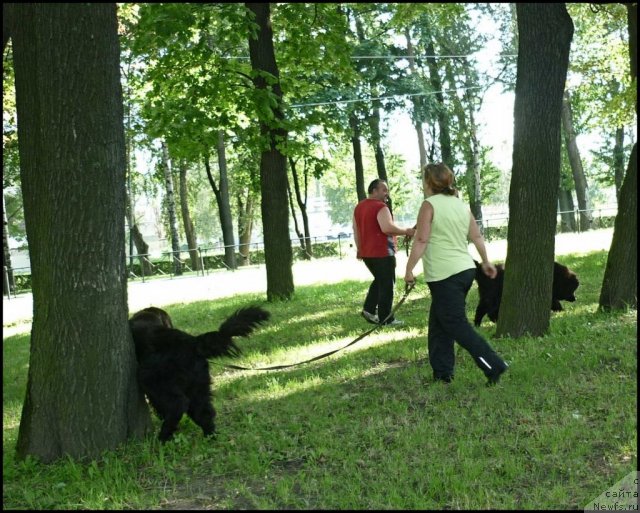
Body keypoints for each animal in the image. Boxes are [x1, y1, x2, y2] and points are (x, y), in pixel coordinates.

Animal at [130, 304, 270, 440]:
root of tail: (193, 342)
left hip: (152, 379)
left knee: (178, 405)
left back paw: (163, 437)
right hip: (198, 386)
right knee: (203, 412)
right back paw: (210, 436)